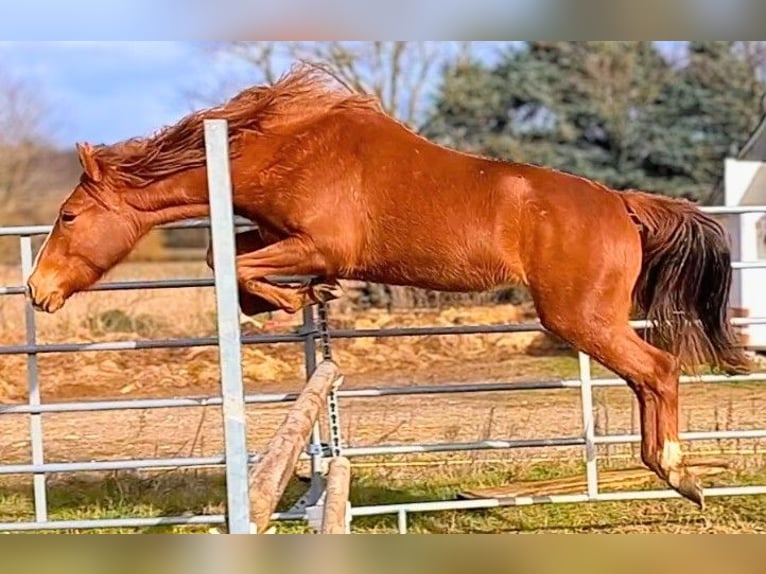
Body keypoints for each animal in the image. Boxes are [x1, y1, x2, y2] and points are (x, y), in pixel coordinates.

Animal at [27, 65, 750, 509]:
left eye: (69, 216)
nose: (38, 290)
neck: (286, 147)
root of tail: (621, 203)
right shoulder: (278, 235)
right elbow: (223, 255)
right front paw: (301, 298)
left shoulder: (322, 243)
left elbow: (238, 264)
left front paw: (296, 299)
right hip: (588, 321)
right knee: (647, 376)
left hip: (581, 318)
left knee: (658, 369)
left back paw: (679, 474)